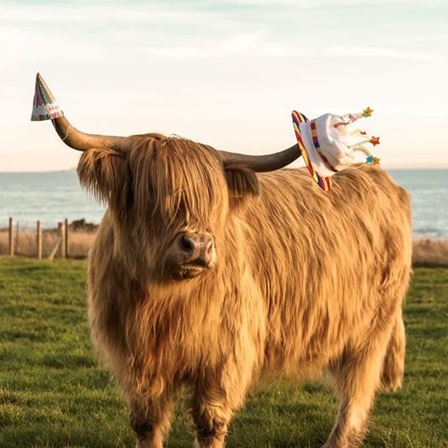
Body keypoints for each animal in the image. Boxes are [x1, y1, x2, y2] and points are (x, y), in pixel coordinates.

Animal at [40, 79, 412, 444]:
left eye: (212, 198)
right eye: (151, 192)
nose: (199, 246)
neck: (161, 301)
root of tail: (381, 179)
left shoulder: (224, 353)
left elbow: (209, 423)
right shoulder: (137, 361)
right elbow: (147, 421)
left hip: (371, 326)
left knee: (356, 390)